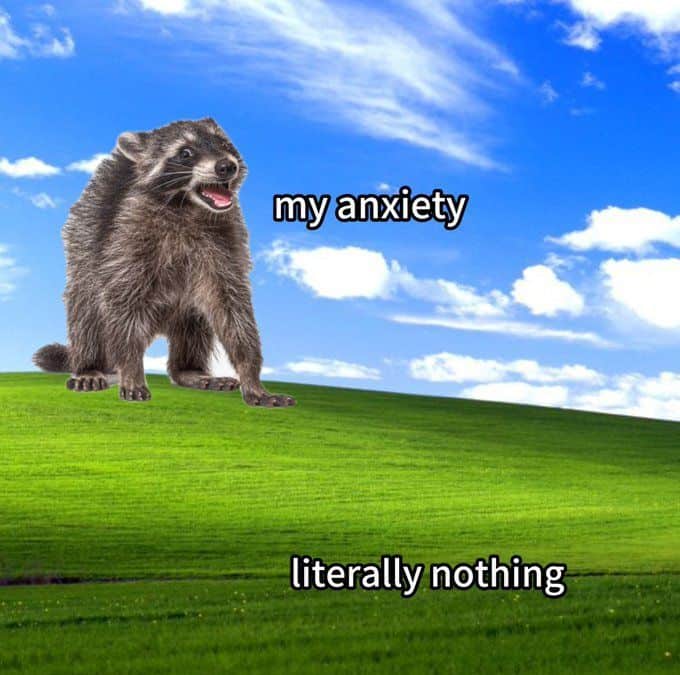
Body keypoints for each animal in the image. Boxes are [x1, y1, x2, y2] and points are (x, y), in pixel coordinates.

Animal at [33, 118, 295, 407]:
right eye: (185, 153)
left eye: (224, 144)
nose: (227, 166)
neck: (187, 206)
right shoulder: (127, 236)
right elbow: (122, 300)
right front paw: (131, 368)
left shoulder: (225, 240)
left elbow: (232, 307)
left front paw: (251, 374)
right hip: (84, 258)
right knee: (87, 310)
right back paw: (90, 365)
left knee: (195, 322)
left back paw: (189, 370)